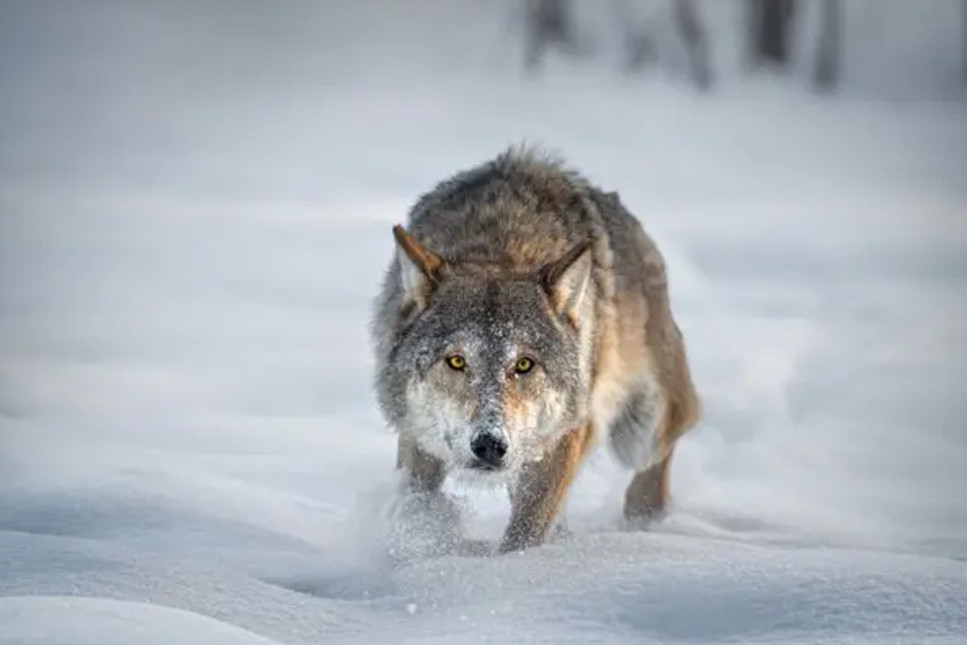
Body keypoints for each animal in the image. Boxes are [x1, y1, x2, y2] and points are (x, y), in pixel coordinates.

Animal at [368, 146, 696, 552]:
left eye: (524, 365)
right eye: (457, 361)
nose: (489, 445)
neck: (500, 248)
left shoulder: (559, 442)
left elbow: (524, 534)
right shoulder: (418, 436)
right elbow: (418, 506)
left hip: (640, 432)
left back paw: (643, 521)